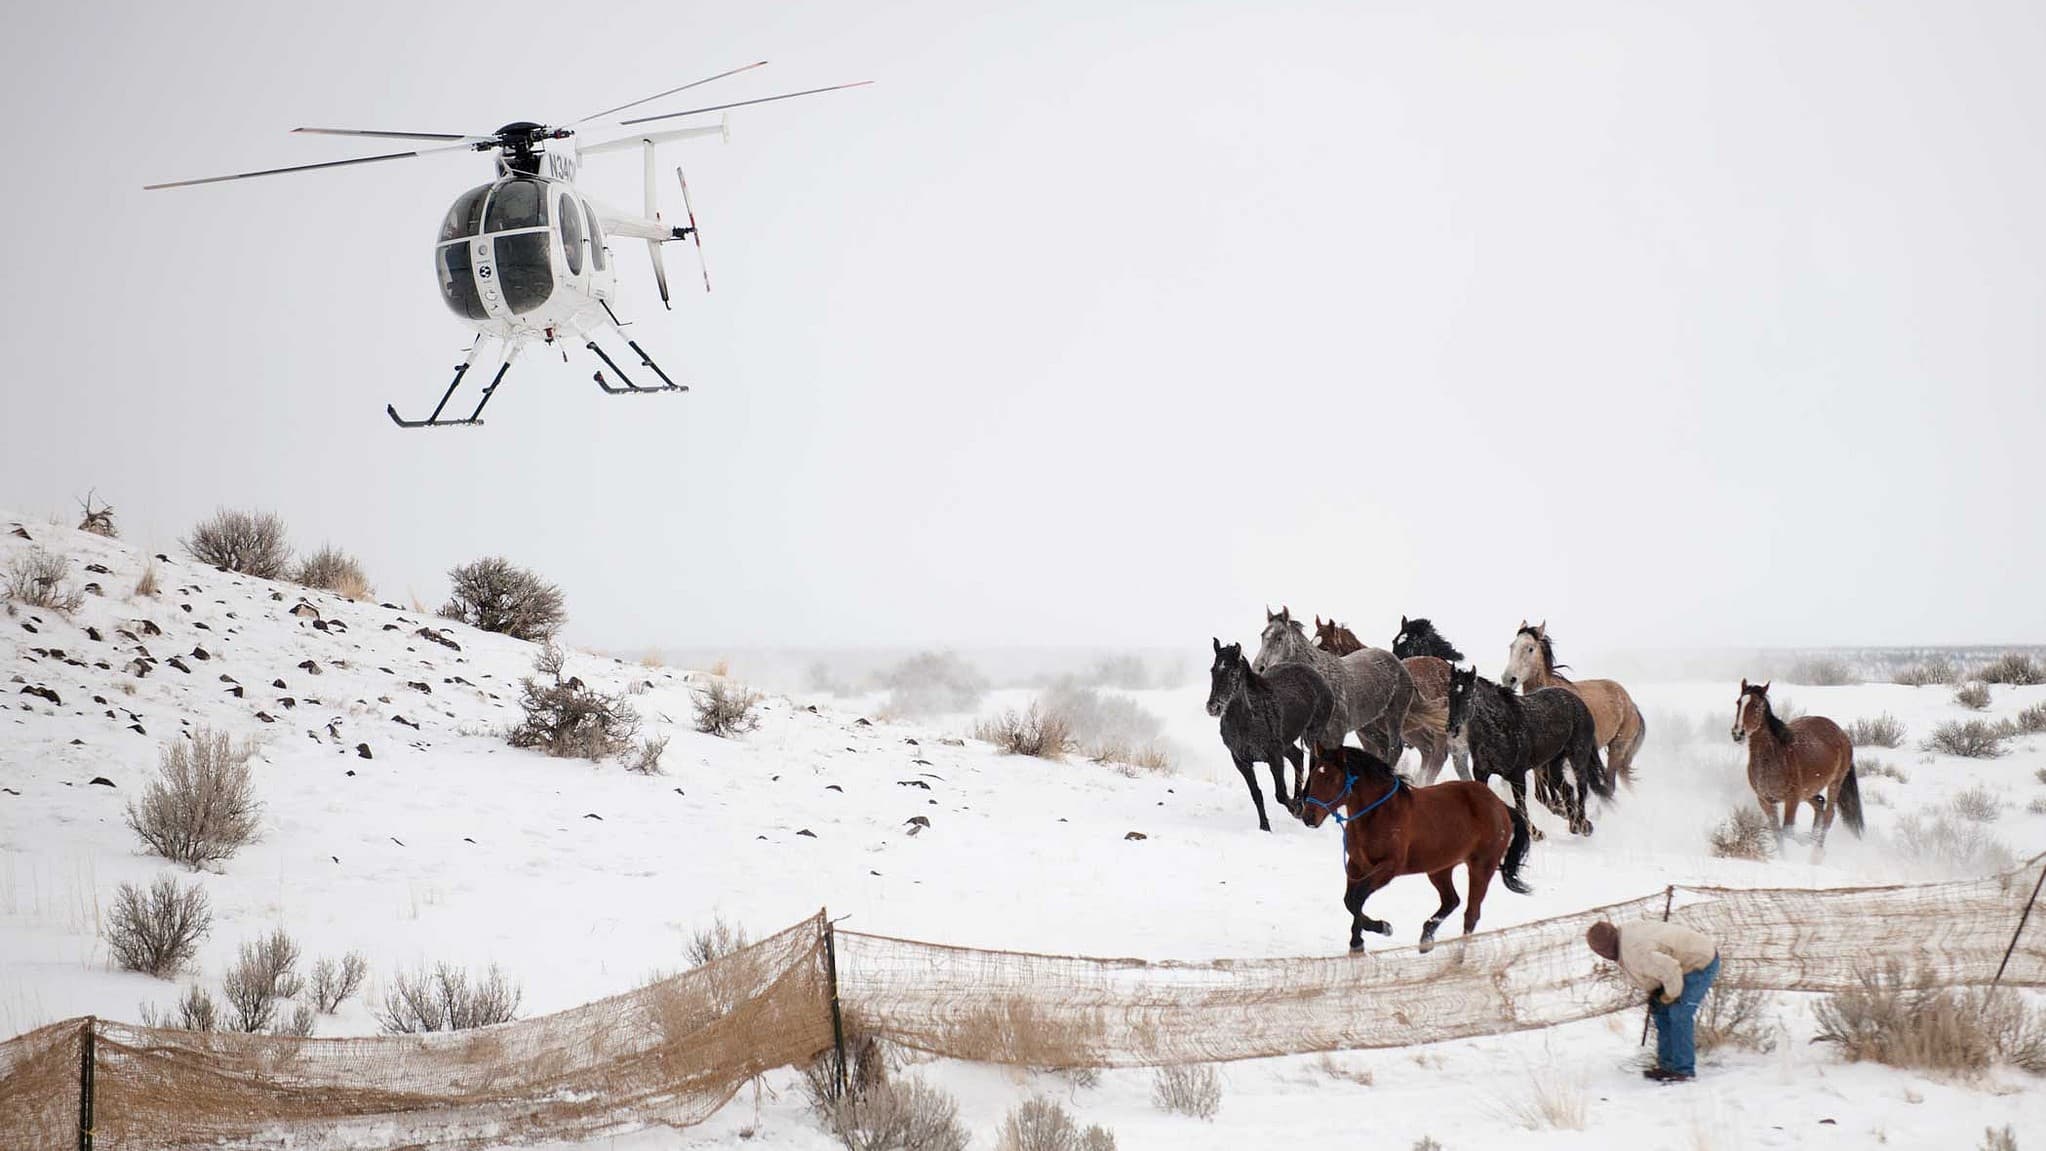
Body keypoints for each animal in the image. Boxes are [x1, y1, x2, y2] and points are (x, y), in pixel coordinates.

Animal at [1206, 639, 1336, 831]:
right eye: (1213, 670)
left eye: (1233, 673)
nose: (1213, 707)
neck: (1248, 720)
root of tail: (1319, 679)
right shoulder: (1242, 762)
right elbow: (1256, 794)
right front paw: (1265, 827)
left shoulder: (1274, 757)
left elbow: (1280, 794)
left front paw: (1296, 810)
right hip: (1287, 743)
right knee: (1297, 757)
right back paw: (1299, 799)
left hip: (1312, 734)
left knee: (1313, 763)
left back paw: (1303, 802)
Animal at [1252, 607, 1414, 766]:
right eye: (1262, 635)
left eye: (1279, 638)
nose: (1258, 668)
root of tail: (1399, 663)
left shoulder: (1335, 737)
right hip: (1367, 726)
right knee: (1384, 746)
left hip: (1394, 715)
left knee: (1395, 749)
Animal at [1297, 744, 1532, 953]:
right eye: (1314, 776)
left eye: (1333, 779)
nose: (1308, 817)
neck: (1378, 813)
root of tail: (1501, 806)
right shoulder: (1356, 865)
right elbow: (1350, 901)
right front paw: (1369, 935)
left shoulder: (1388, 868)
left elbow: (1358, 897)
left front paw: (1371, 935)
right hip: (1440, 868)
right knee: (1451, 901)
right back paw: (1427, 938)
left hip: (1481, 868)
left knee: (1470, 915)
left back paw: (1457, 959)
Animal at [1445, 664, 1611, 838]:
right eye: (1449, 695)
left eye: (1468, 697)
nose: (1452, 728)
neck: (1500, 731)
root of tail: (1581, 704)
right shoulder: (1481, 774)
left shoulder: (1517, 777)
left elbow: (1521, 807)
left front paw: (1535, 833)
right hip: (1553, 764)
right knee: (1567, 789)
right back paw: (1574, 826)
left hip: (1578, 756)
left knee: (1582, 787)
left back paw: (1583, 825)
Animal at [1732, 679, 1863, 850]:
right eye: (1738, 702)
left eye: (1756, 706)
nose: (1737, 734)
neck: (1773, 758)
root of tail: (1842, 733)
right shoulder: (1765, 801)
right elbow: (1778, 835)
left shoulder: (1792, 799)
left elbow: (1787, 832)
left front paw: (1803, 842)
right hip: (1808, 791)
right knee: (1819, 803)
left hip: (1835, 782)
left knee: (1828, 815)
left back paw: (1816, 851)